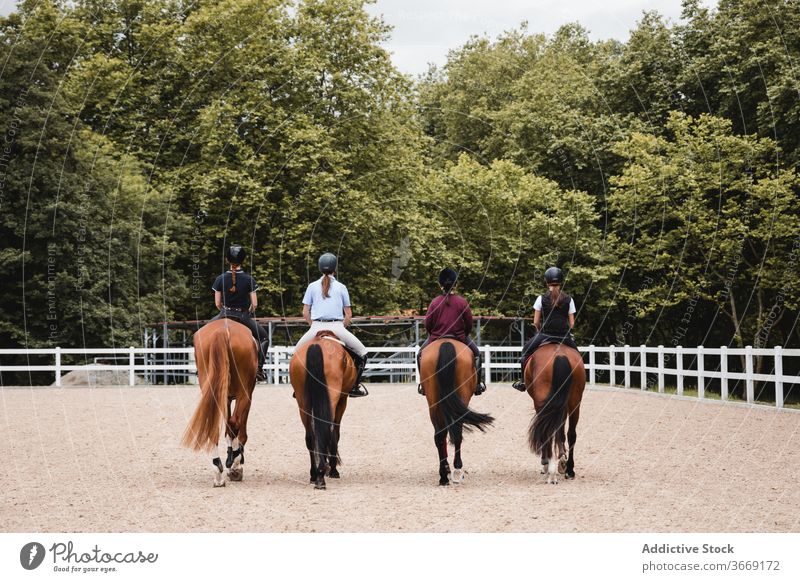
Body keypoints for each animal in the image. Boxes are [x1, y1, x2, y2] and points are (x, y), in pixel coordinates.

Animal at [180, 320, 256, 488]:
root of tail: (223, 330)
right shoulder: (247, 396)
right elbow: (239, 431)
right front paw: (235, 462)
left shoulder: (225, 398)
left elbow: (227, 429)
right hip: (244, 394)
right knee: (234, 423)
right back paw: (234, 464)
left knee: (213, 427)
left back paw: (218, 472)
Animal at [284, 330, 354, 490]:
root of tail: (317, 345)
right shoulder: (342, 400)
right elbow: (336, 433)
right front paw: (333, 469)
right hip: (332, 397)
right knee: (327, 430)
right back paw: (322, 474)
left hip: (303, 403)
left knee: (310, 437)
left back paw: (314, 474)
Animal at [418, 338, 494, 488]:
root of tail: (446, 342)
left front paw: (446, 467)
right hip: (462, 396)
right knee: (457, 431)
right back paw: (456, 467)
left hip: (433, 402)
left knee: (439, 435)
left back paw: (443, 477)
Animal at [524, 344, 588, 486]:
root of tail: (559, 355)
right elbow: (561, 431)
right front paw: (561, 457)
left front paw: (546, 464)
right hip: (574, 402)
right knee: (571, 434)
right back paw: (569, 469)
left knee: (545, 431)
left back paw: (548, 466)